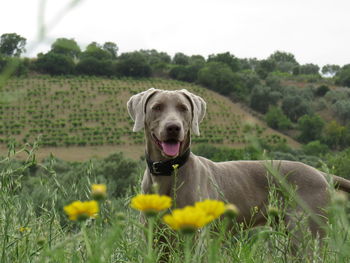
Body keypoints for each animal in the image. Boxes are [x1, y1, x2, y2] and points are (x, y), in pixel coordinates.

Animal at [127, 88, 350, 239]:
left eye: (183, 108)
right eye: (157, 107)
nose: (173, 127)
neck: (168, 171)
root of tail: (321, 174)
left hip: (306, 232)